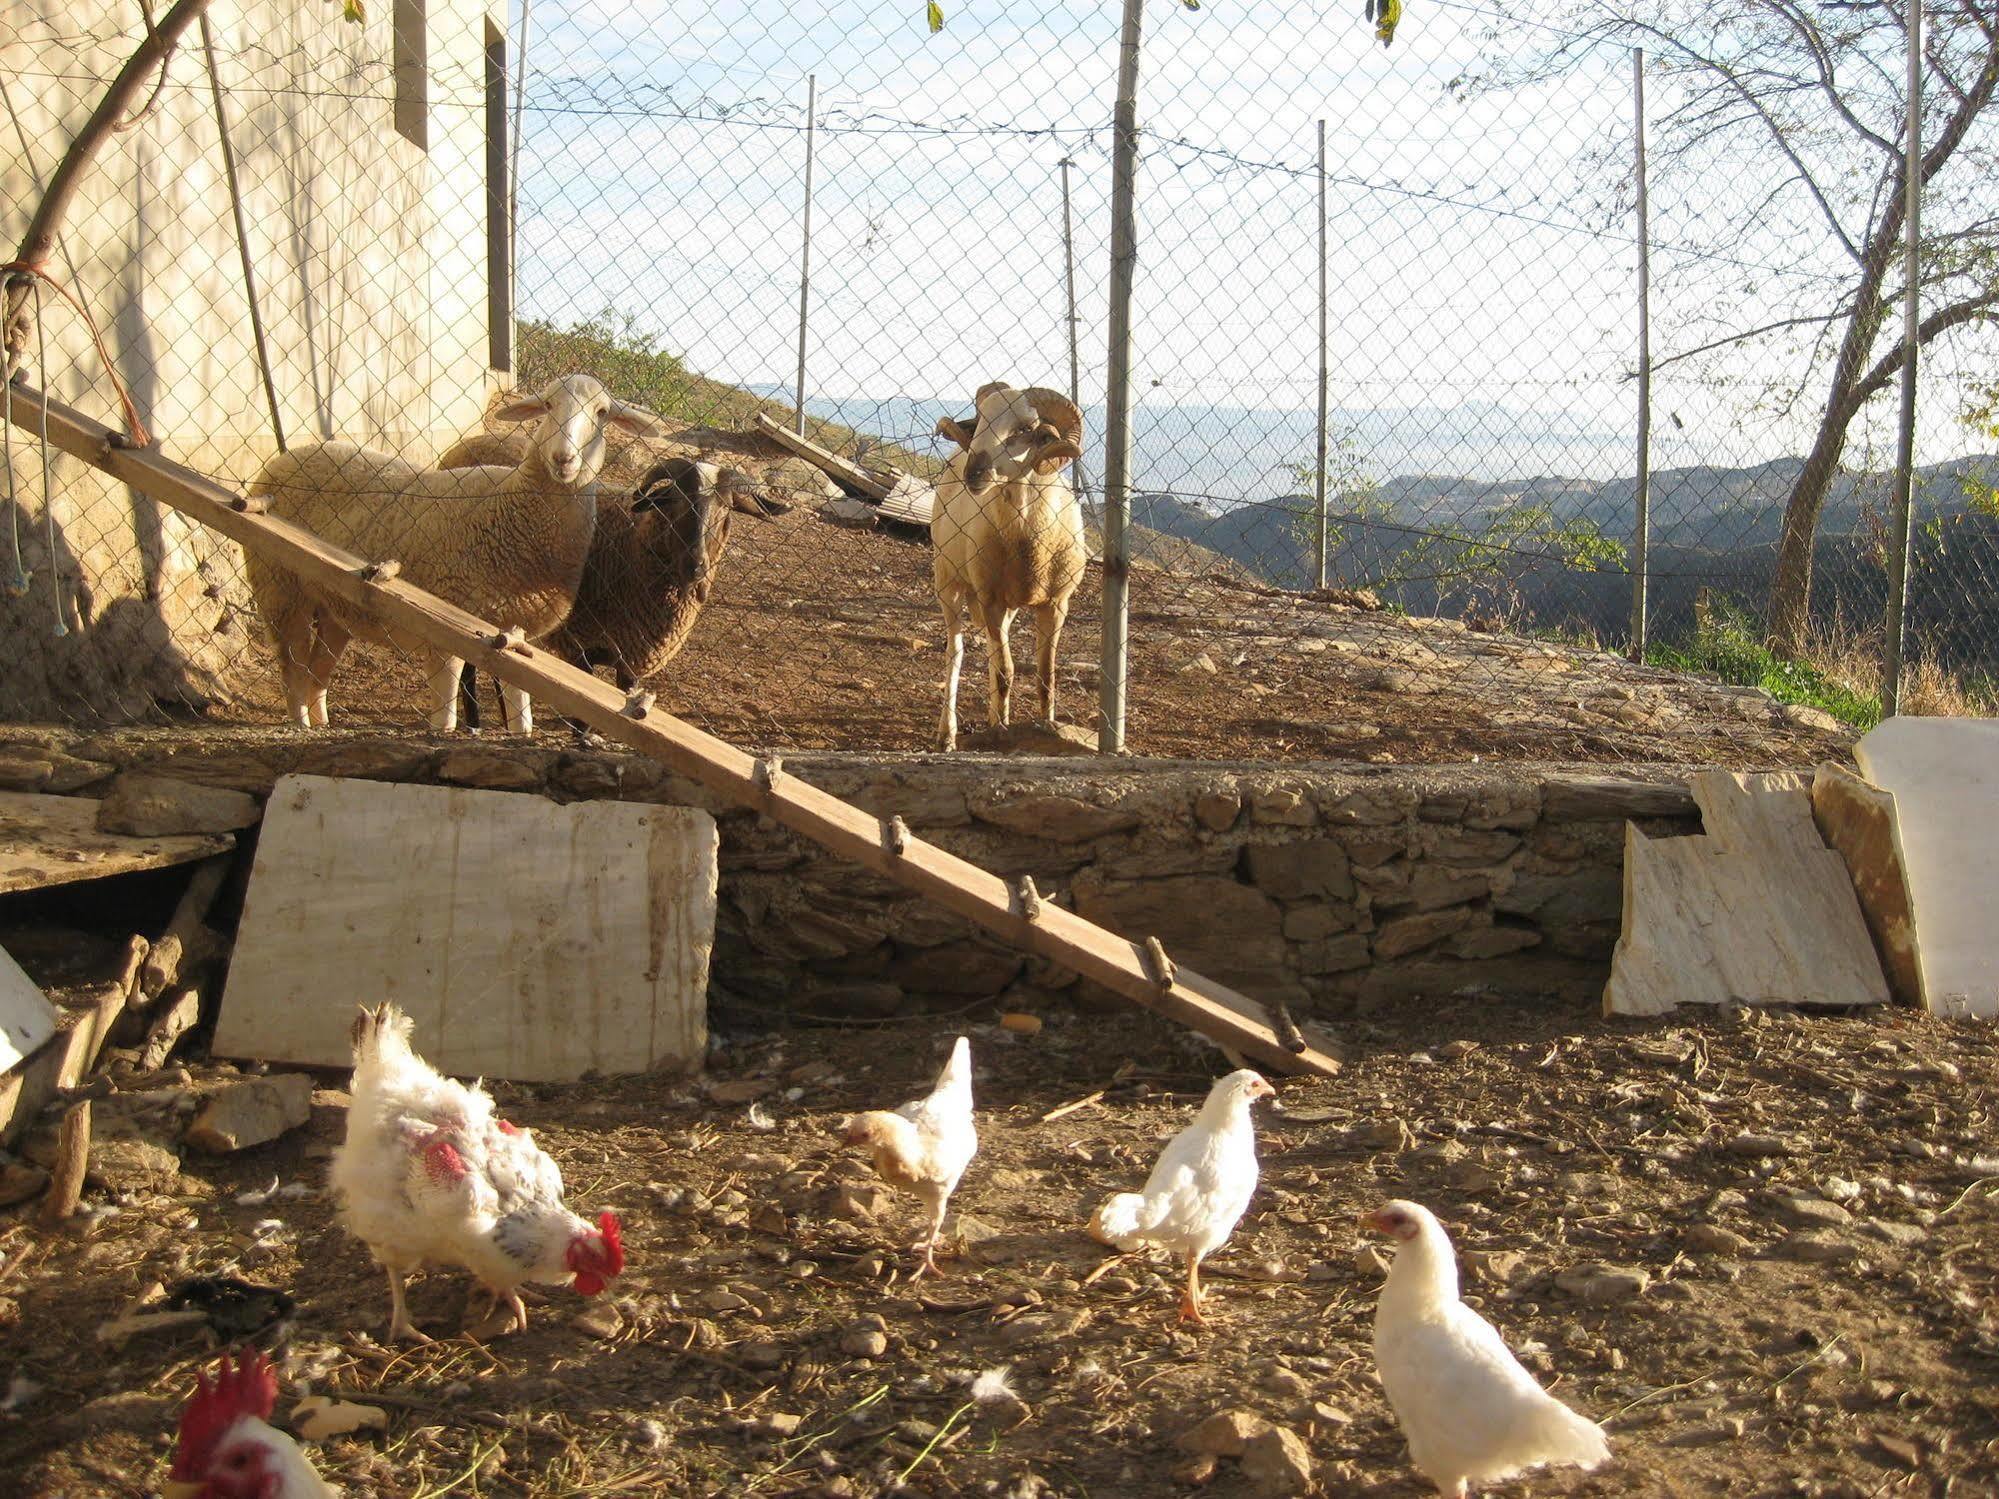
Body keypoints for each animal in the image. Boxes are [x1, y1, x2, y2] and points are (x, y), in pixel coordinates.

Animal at [244, 373, 667, 731]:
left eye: (602, 412)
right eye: (548, 405)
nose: (563, 459)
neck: (512, 508)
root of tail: (288, 455)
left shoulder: (518, 638)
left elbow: (523, 721)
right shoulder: (446, 629)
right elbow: (445, 722)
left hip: (335, 608)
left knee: (317, 672)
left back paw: (322, 725)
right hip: (280, 588)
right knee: (293, 668)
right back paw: (301, 725)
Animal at [927, 377, 1087, 747]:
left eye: (1026, 429)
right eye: (981, 419)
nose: (975, 472)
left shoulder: (1056, 604)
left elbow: (1046, 675)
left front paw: (1045, 725)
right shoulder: (992, 601)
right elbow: (1006, 672)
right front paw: (1000, 733)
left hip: (1006, 606)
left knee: (990, 650)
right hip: (948, 581)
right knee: (955, 653)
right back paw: (948, 735)